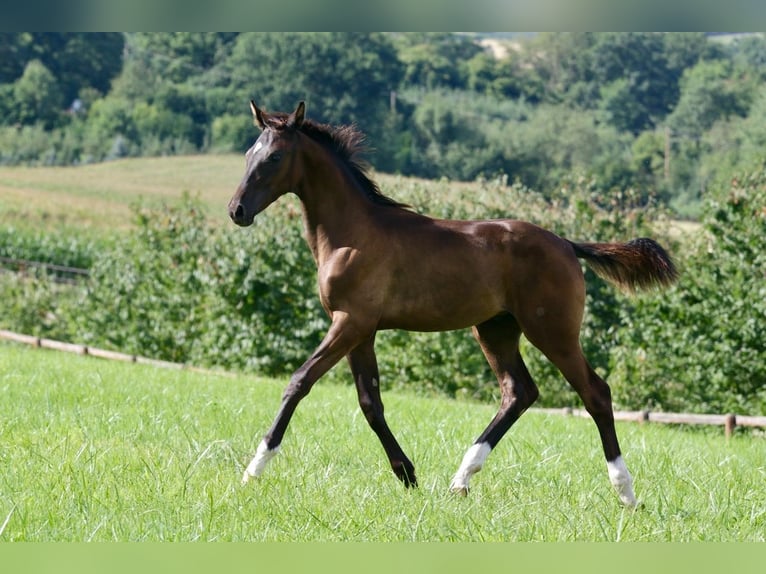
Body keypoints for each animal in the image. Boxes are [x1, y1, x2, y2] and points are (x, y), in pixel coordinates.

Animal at [228, 102, 680, 508]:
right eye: (249, 153)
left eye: (275, 156)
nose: (237, 211)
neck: (350, 235)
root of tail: (567, 245)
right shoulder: (361, 330)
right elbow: (370, 403)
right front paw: (407, 474)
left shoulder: (350, 322)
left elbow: (299, 382)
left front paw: (253, 470)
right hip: (496, 330)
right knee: (519, 392)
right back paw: (461, 479)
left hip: (553, 331)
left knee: (595, 393)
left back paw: (626, 493)